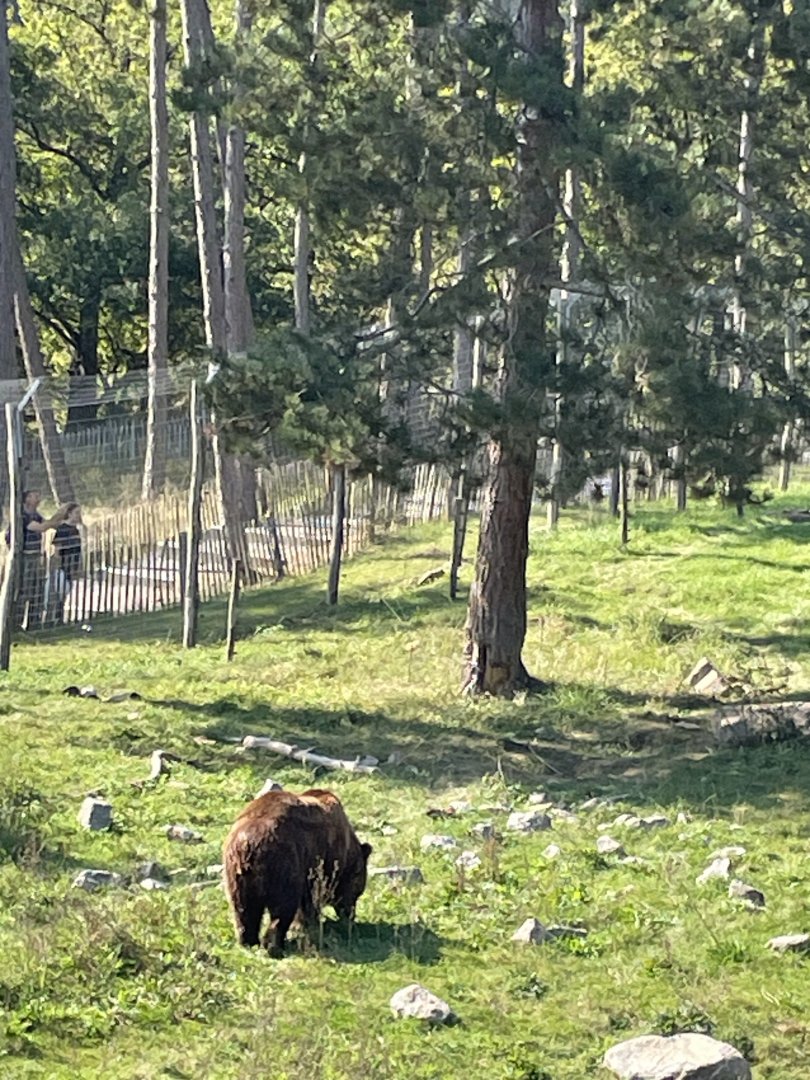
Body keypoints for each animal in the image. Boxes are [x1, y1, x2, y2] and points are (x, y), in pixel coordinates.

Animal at [223, 788, 372, 957]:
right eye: (357, 892)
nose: (351, 916)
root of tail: (249, 843)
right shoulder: (321, 861)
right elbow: (310, 901)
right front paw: (310, 925)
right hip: (284, 862)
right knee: (283, 906)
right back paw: (274, 945)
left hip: (236, 873)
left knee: (243, 908)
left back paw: (248, 942)